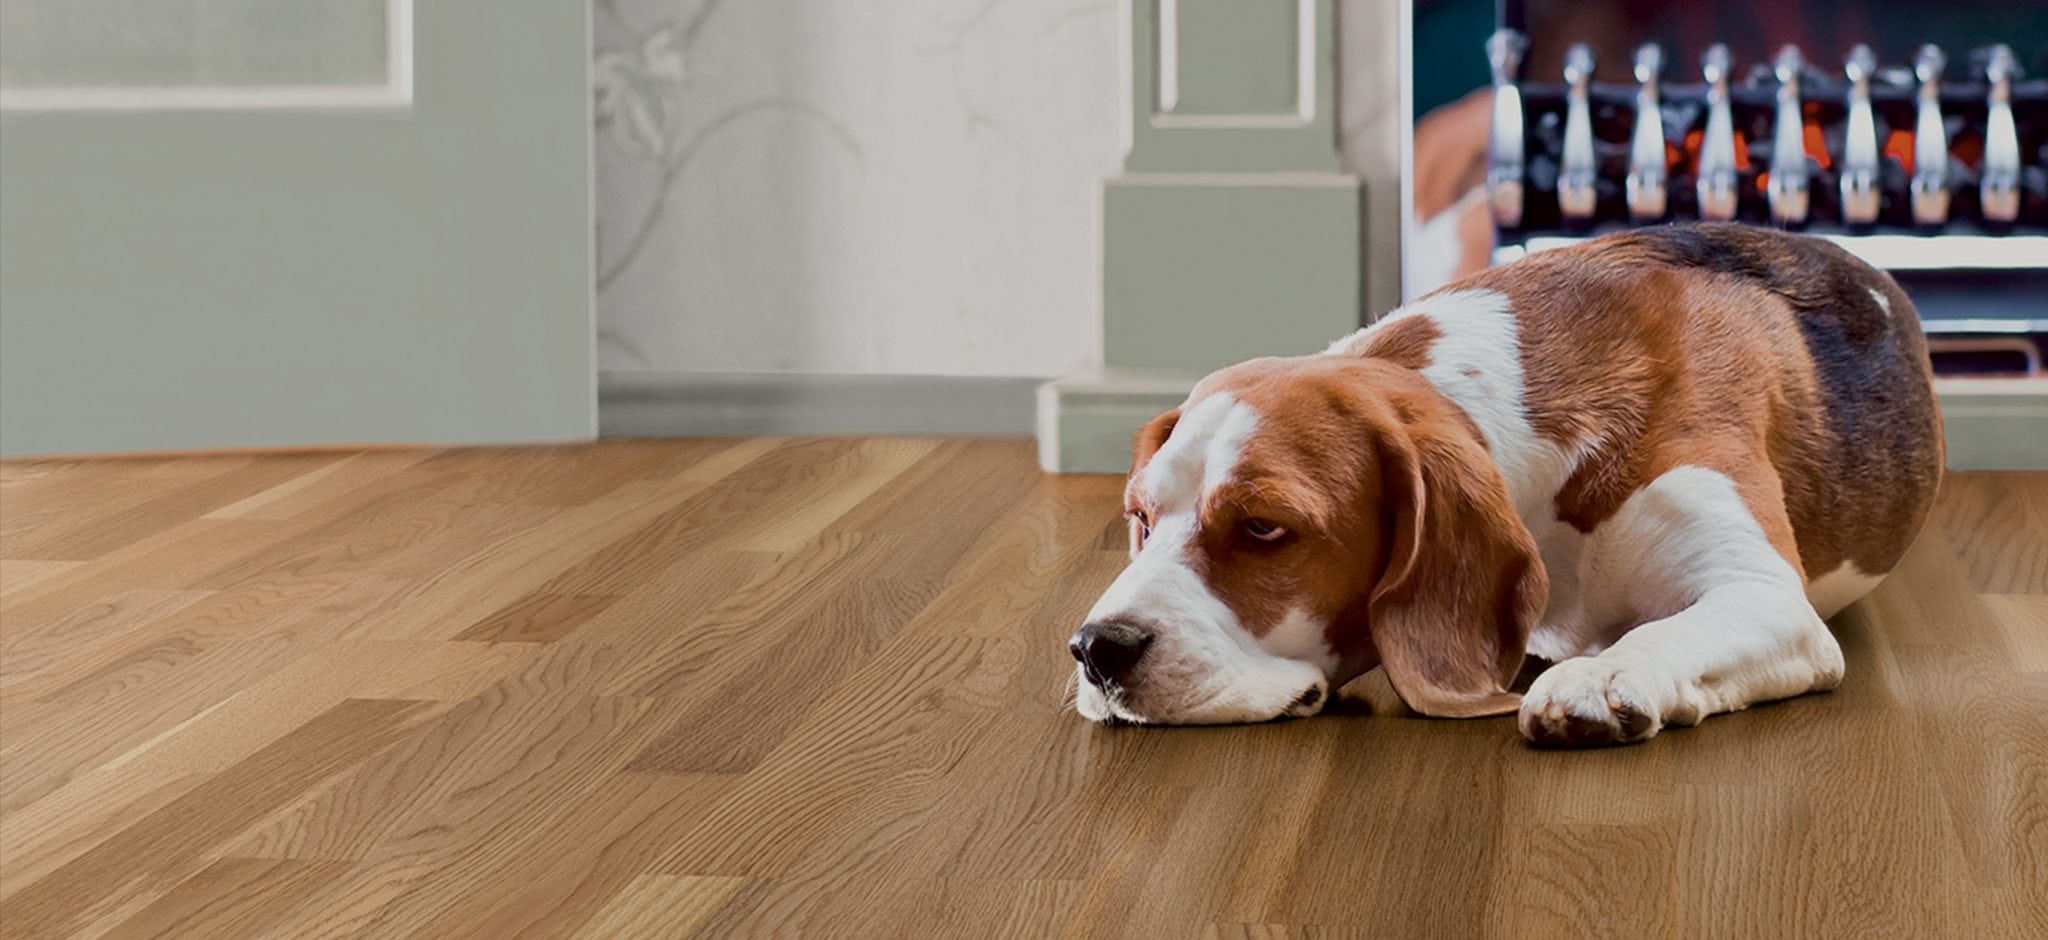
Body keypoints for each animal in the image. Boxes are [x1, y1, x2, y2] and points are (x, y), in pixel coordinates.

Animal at [1081, 224, 1941, 745]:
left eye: (1264, 527)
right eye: (1142, 520)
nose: (1095, 649)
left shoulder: (1766, 597)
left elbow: (1669, 628)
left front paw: (1605, 673)